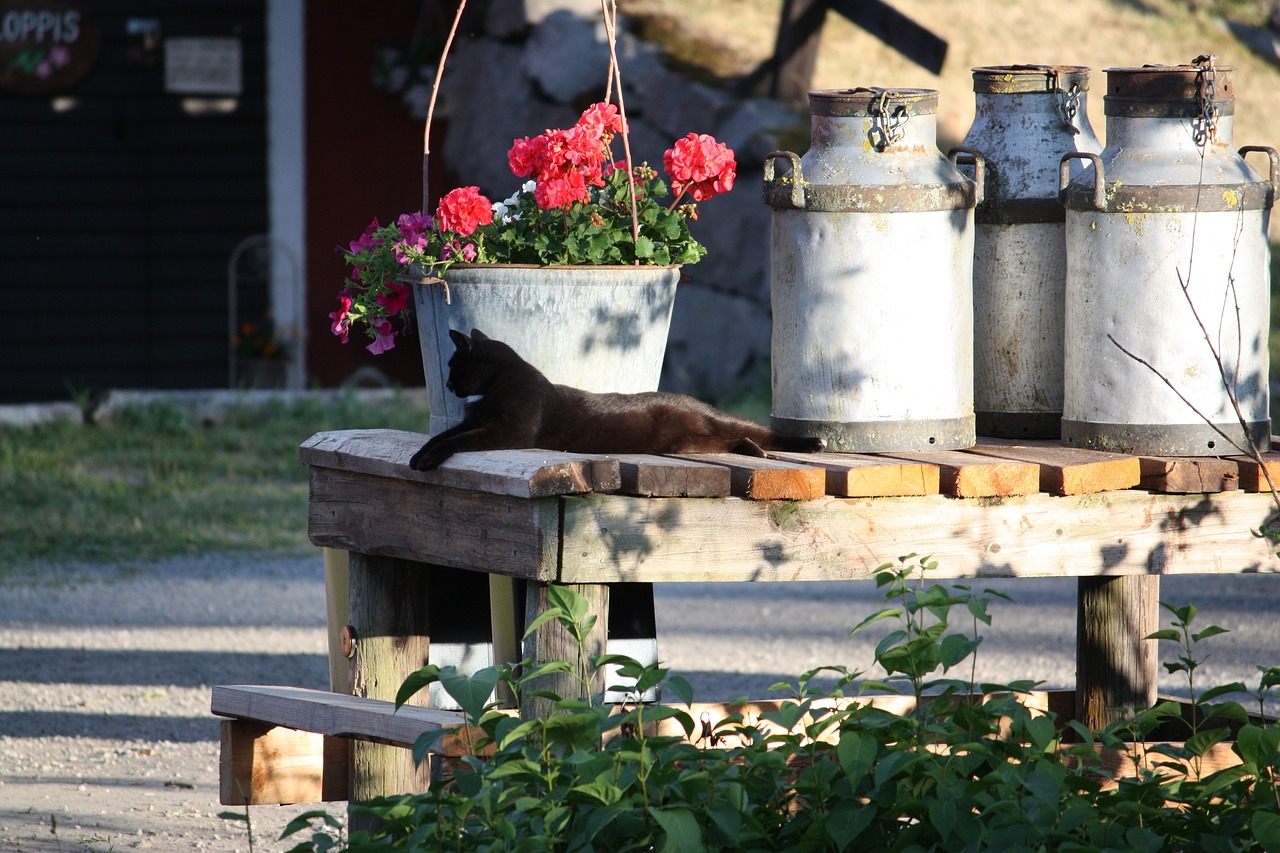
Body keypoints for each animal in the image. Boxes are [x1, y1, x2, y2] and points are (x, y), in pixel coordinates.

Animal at [409, 326, 829, 471]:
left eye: (453, 365)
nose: (447, 384)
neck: (498, 383)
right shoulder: (473, 421)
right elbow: (444, 435)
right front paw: (418, 456)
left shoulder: (507, 432)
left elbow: (457, 441)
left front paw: (426, 460)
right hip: (700, 440)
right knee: (738, 439)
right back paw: (754, 452)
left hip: (718, 422)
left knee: (760, 432)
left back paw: (811, 443)